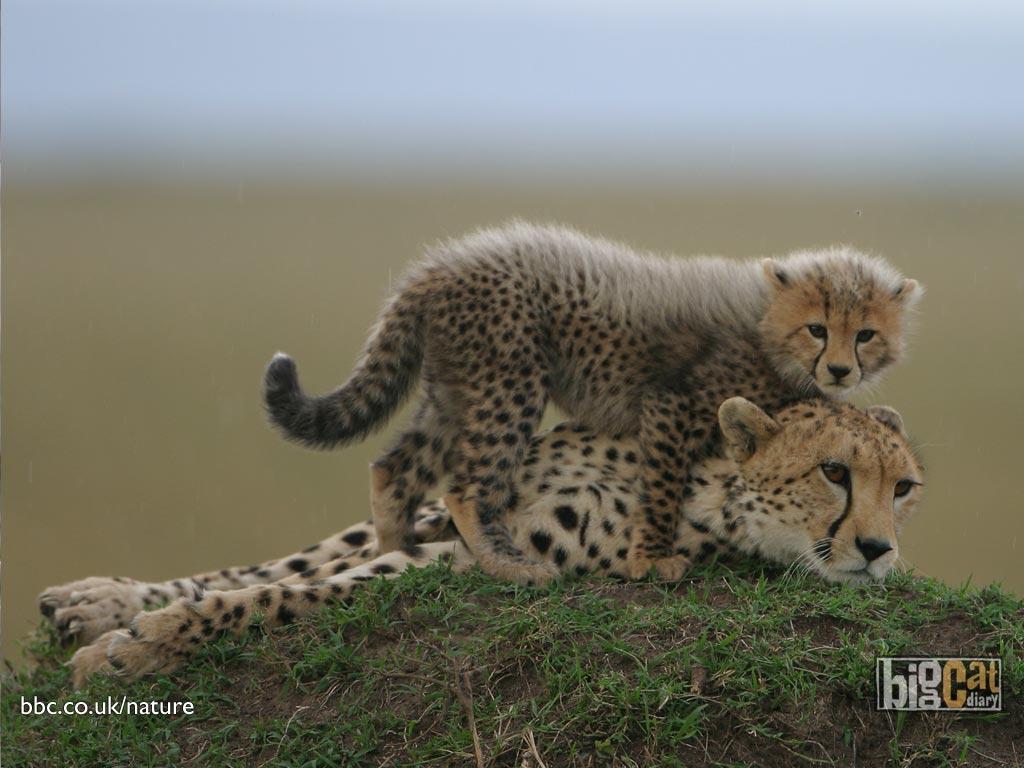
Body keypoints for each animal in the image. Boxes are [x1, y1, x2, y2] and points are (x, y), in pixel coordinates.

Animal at [41, 397, 923, 688]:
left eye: (904, 489)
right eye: (835, 472)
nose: (880, 550)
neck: (705, 480)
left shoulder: (483, 556)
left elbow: (295, 590)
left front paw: (142, 646)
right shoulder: (462, 513)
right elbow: (282, 566)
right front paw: (120, 616)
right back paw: (93, 600)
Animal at [262, 222, 922, 585]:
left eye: (865, 334)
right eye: (817, 328)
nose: (839, 369)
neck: (764, 328)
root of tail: (442, 263)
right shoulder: (673, 403)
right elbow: (663, 483)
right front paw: (651, 559)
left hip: (457, 386)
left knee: (394, 468)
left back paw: (397, 547)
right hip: (509, 377)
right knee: (467, 486)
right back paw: (509, 563)